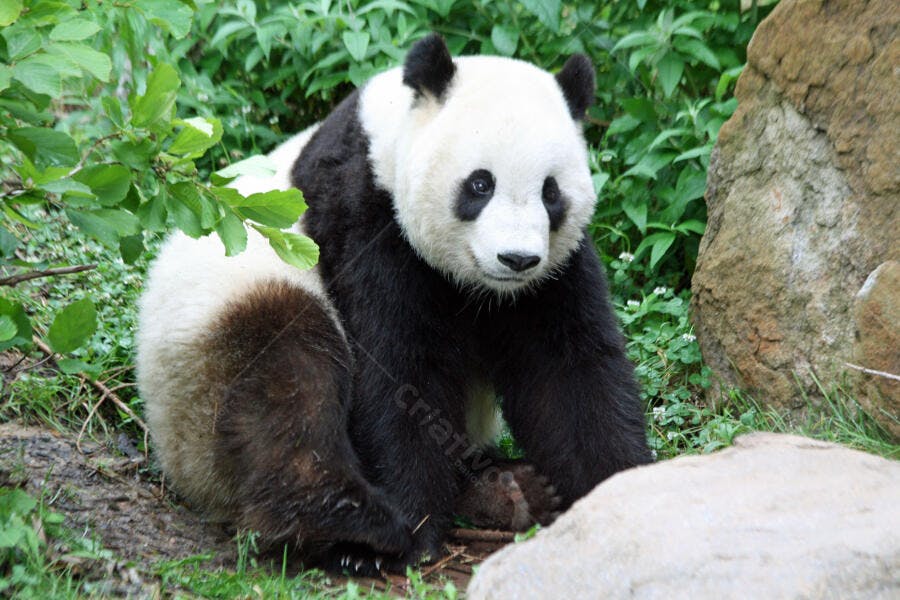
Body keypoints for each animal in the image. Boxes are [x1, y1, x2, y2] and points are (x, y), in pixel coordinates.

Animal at [136, 34, 651, 574]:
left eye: (551, 193)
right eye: (480, 184)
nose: (516, 259)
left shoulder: (552, 275)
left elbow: (567, 373)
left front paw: (622, 494)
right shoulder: (365, 216)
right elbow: (397, 368)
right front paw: (417, 531)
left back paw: (511, 491)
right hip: (210, 345)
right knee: (286, 382)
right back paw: (353, 523)